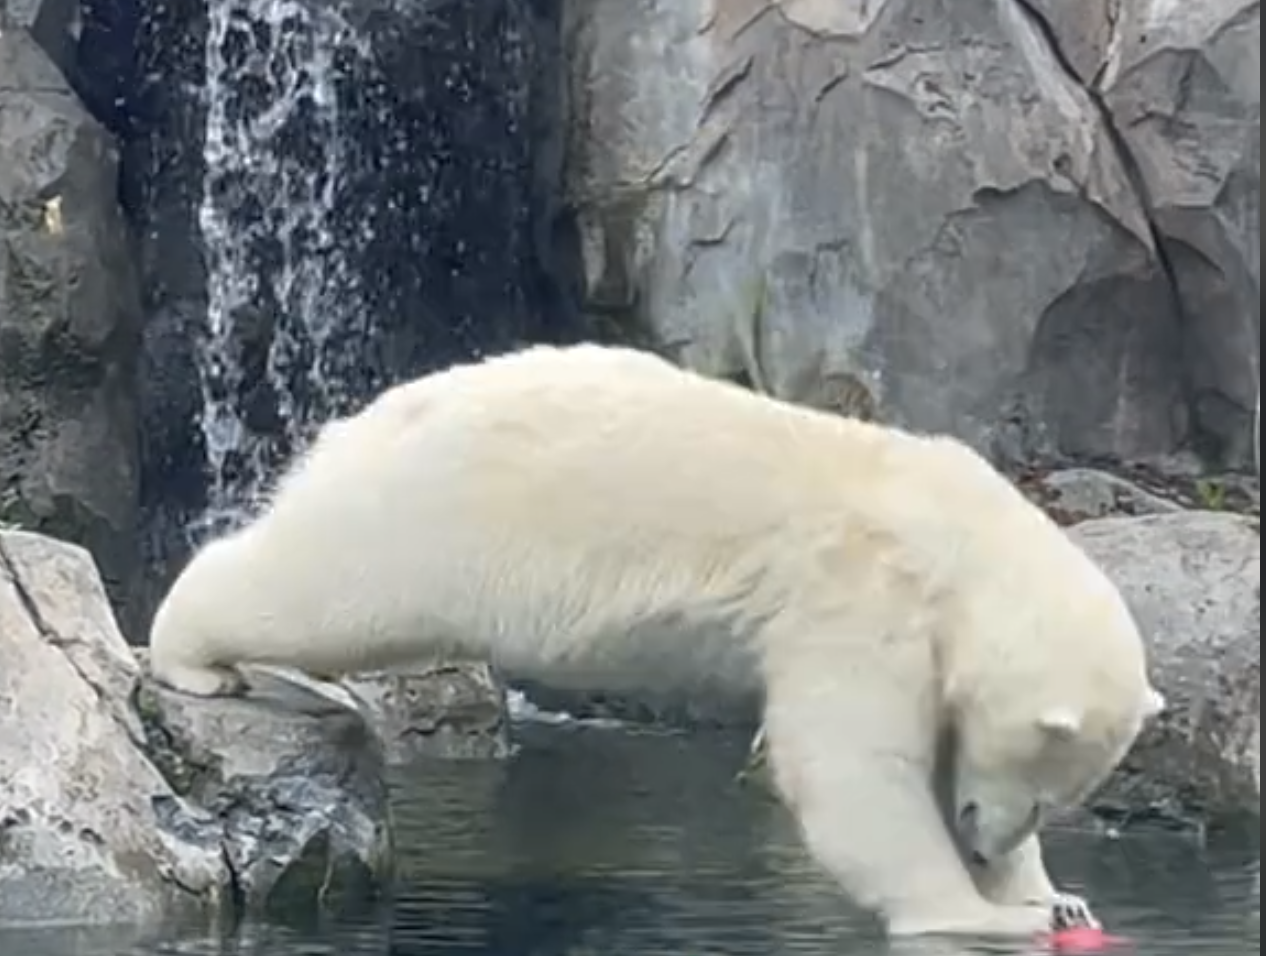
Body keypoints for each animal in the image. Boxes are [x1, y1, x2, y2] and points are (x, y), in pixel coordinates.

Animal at [148, 343, 1164, 940]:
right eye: (1044, 788)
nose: (989, 846)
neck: (958, 541)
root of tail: (368, 419)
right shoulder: (859, 601)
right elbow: (856, 771)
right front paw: (984, 913)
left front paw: (1053, 896)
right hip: (428, 520)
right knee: (319, 585)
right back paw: (193, 659)